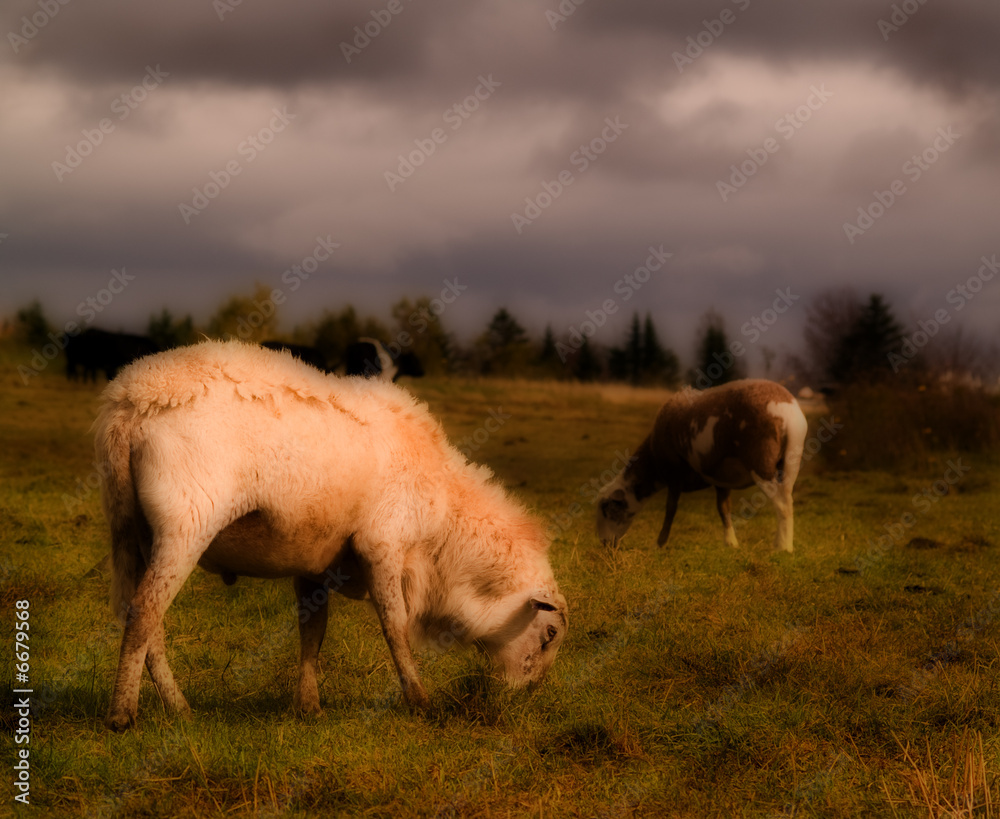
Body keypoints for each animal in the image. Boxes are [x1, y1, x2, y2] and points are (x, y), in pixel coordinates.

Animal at [95, 340, 567, 731]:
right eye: (549, 635)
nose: (523, 700)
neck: (444, 528)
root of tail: (128, 404)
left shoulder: (312, 560)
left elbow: (313, 632)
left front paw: (309, 707)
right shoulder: (382, 545)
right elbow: (395, 627)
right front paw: (419, 702)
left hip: (136, 530)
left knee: (147, 621)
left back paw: (177, 708)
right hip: (185, 524)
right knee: (144, 613)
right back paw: (123, 715)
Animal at [596, 379, 808, 552]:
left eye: (607, 509)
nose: (606, 545)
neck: (654, 465)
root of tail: (787, 409)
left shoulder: (674, 472)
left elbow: (670, 509)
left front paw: (660, 543)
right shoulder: (722, 479)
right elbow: (723, 508)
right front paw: (731, 542)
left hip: (761, 462)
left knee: (782, 504)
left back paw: (783, 546)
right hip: (791, 459)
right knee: (787, 497)